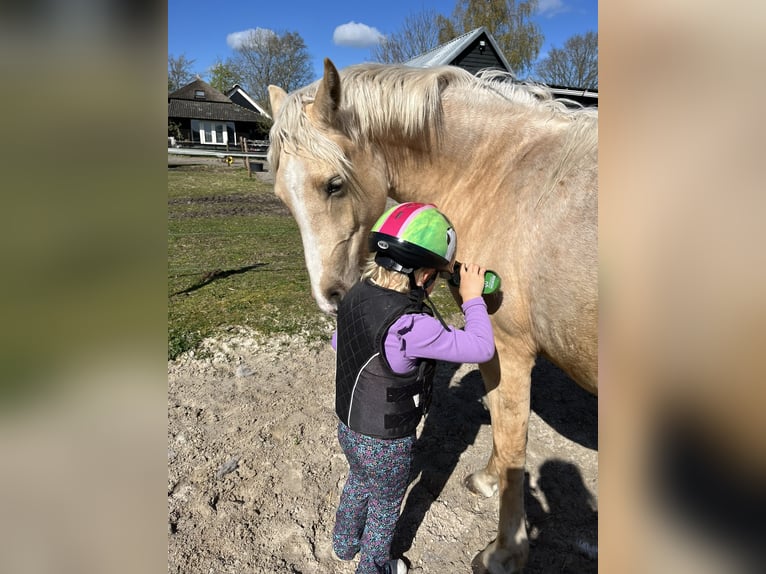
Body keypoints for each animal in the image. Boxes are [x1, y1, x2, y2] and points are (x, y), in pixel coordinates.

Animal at [267, 58, 597, 574]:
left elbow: (513, 438)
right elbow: (500, 425)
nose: (331, 297)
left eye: (333, 185)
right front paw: (487, 480)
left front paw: (505, 551)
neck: (503, 172)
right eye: (282, 197)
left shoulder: (510, 348)